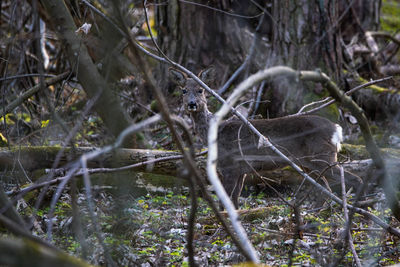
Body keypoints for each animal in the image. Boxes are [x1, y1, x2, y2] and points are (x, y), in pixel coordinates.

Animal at [169, 67, 362, 209]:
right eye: (184, 90)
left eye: (200, 90)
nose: (192, 104)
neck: (215, 132)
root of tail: (336, 129)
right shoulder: (241, 169)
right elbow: (235, 199)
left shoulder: (230, 165)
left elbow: (227, 199)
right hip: (309, 162)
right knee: (325, 186)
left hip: (321, 155)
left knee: (351, 178)